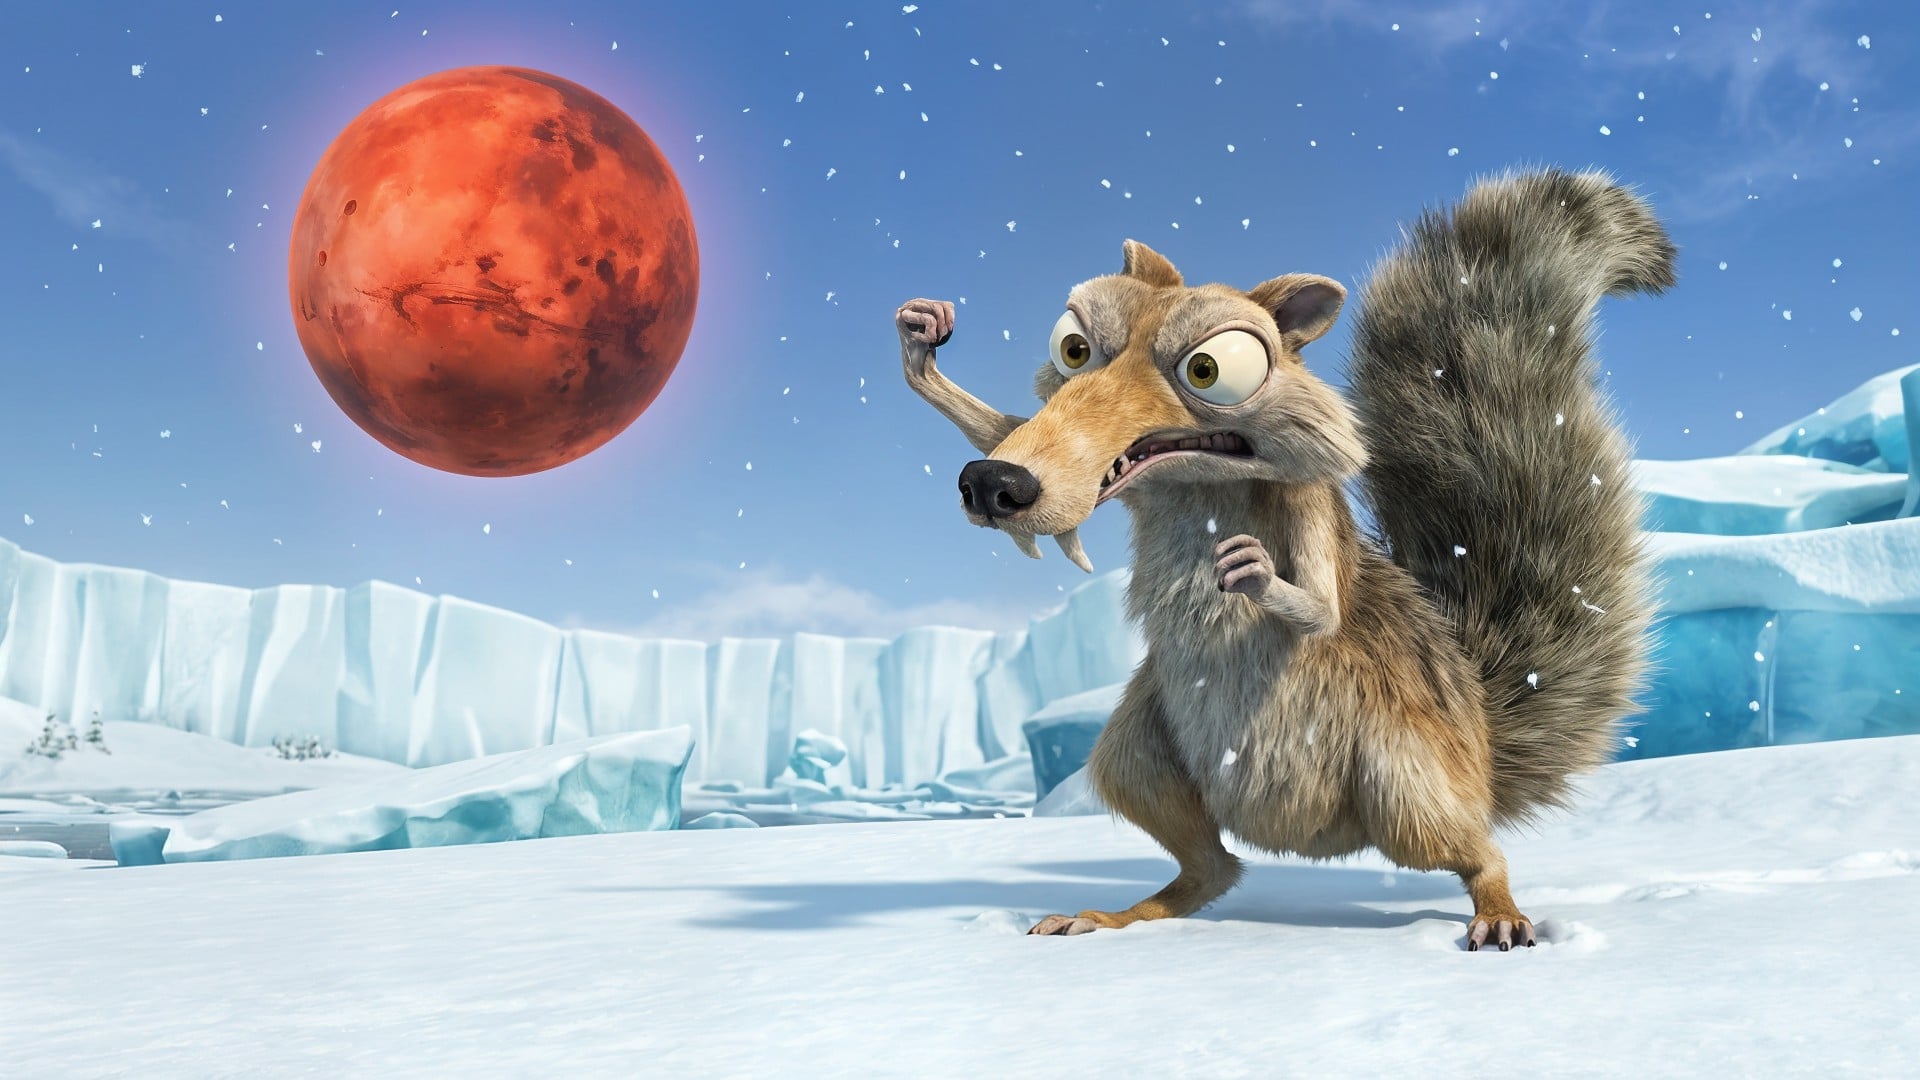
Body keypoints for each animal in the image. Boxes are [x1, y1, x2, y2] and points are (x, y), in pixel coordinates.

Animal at [896, 168, 1672, 951]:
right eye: (1075, 350)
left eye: (1209, 369)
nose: (996, 484)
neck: (1195, 483)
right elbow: (998, 425)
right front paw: (921, 349)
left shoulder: (1306, 503)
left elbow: (1323, 608)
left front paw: (1258, 574)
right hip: (1134, 751)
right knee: (1210, 867)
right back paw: (1112, 914)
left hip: (1403, 776)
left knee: (1472, 848)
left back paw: (1499, 907)